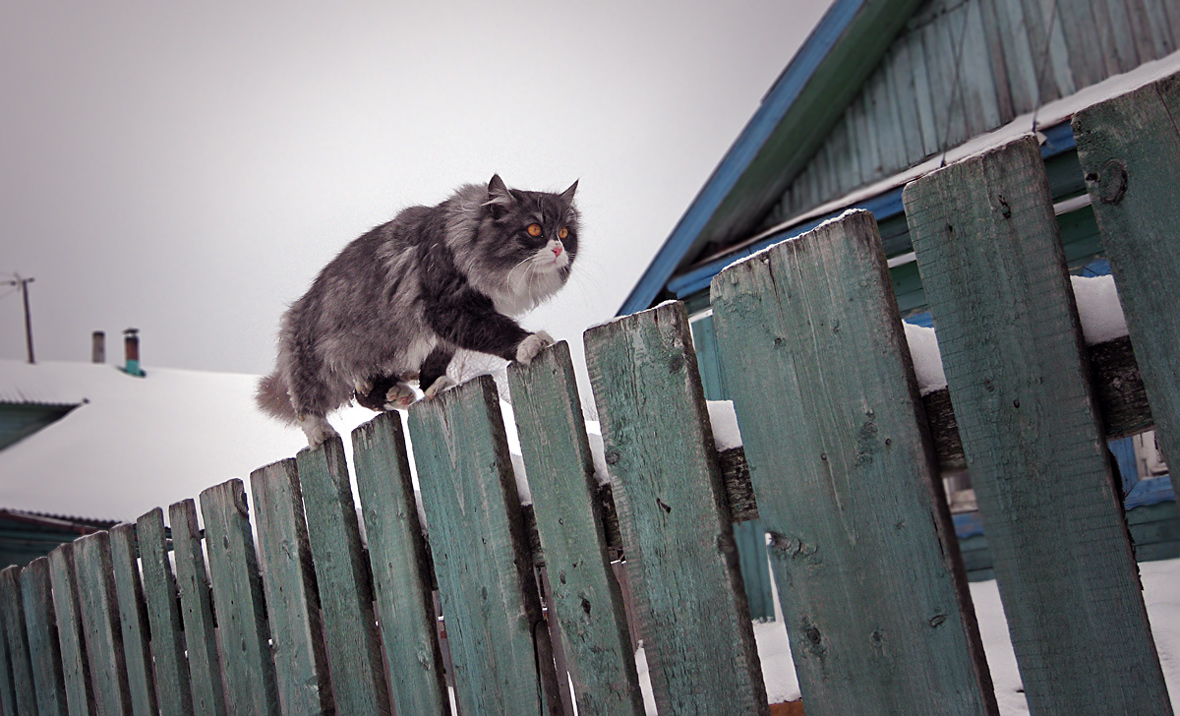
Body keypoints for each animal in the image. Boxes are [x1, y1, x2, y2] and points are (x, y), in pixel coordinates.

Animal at [256, 173, 578, 445]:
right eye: (534, 229)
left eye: (564, 232)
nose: (558, 249)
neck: (463, 238)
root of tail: (300, 304)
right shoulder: (450, 309)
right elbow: (496, 331)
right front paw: (530, 342)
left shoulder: (445, 332)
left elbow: (435, 362)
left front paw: (435, 386)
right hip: (316, 361)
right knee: (306, 400)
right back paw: (320, 432)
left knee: (363, 394)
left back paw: (396, 394)